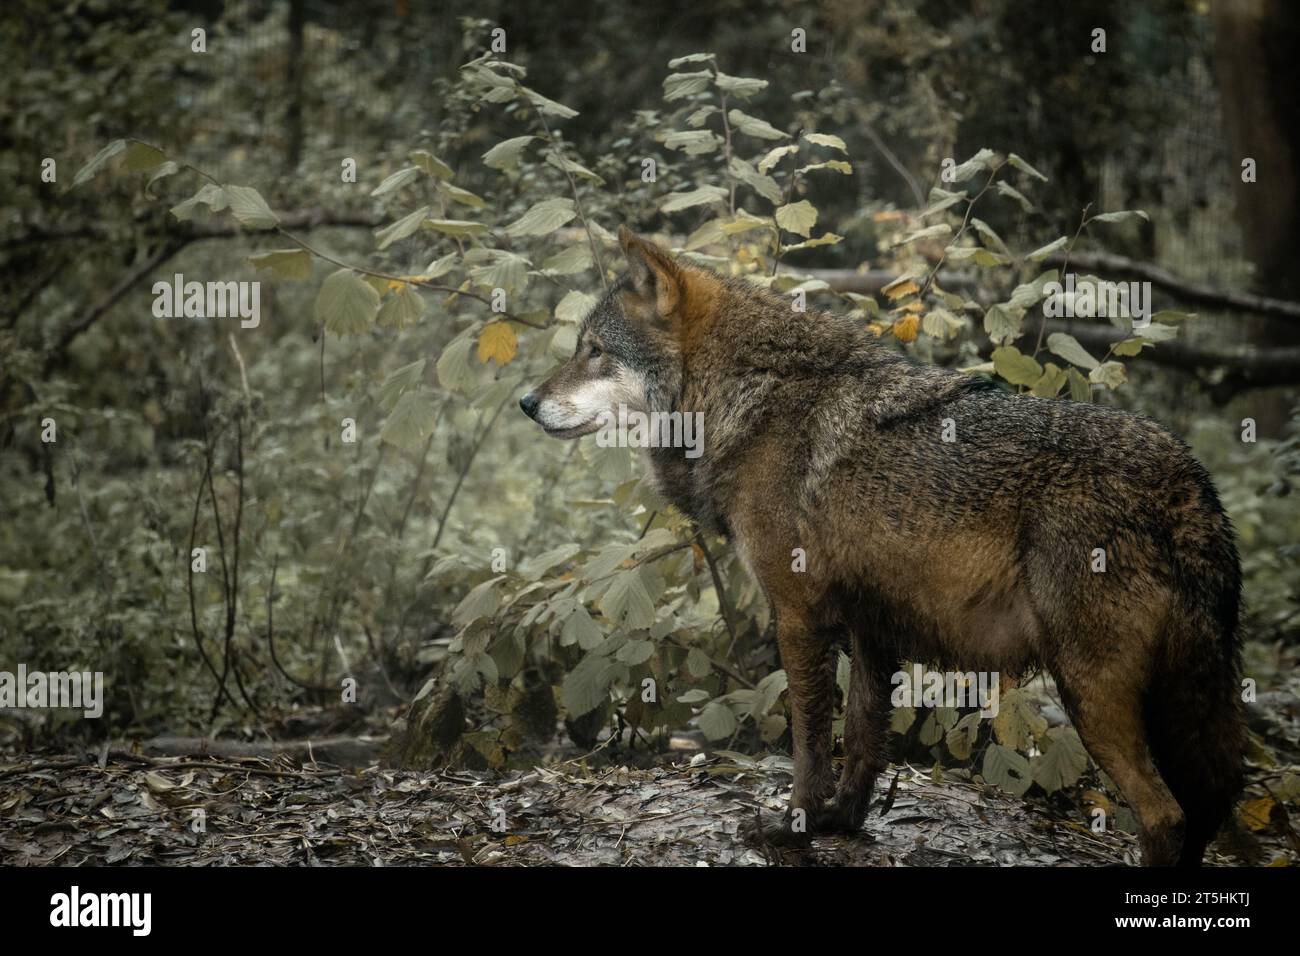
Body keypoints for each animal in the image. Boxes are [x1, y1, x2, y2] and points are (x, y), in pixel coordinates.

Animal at [512, 226, 1242, 868]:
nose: (524, 402)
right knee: (1210, 806)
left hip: (1091, 690)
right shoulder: (872, 627)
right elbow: (864, 739)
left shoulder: (799, 617)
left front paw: (794, 825)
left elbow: (811, 741)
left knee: (1165, 815)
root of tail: (1190, 483)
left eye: (594, 350)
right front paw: (841, 822)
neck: (742, 398)